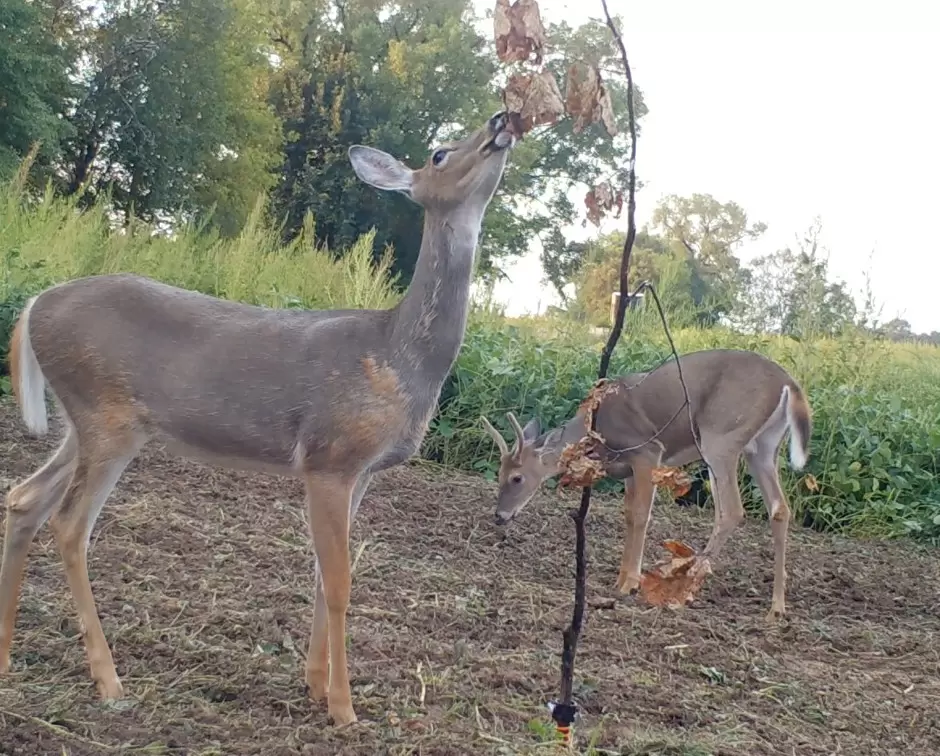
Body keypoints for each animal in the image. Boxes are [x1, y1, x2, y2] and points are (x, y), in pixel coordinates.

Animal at [0, 112, 517, 726]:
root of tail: (34, 304)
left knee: (24, 498)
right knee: (69, 524)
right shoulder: (329, 456)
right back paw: (108, 679)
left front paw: (314, 685)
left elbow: (320, 574)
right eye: (439, 153)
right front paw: (343, 708)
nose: (503, 120)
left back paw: (6, 657)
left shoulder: (362, 472)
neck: (399, 355)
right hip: (108, 418)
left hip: (85, 421)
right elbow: (339, 581)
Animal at [481, 348, 813, 620]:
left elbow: (641, 515)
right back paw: (776, 607)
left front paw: (629, 583)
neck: (596, 431)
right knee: (779, 508)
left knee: (731, 510)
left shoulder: (647, 451)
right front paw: (621, 578)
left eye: (517, 478)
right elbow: (629, 515)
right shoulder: (628, 469)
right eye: (499, 475)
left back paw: (685, 584)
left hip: (722, 435)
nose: (499, 515)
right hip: (763, 447)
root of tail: (789, 383)